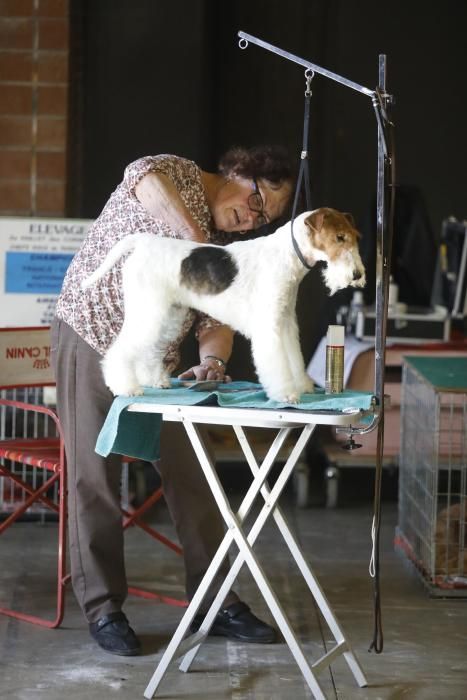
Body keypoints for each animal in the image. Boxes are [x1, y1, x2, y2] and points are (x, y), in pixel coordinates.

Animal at [83, 208, 366, 402]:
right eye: (339, 237)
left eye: (355, 237)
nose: (357, 275)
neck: (286, 256)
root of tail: (142, 242)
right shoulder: (270, 326)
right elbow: (277, 362)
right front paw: (286, 394)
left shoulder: (285, 321)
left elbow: (294, 357)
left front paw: (302, 385)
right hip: (149, 309)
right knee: (120, 351)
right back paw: (126, 387)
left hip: (167, 313)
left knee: (150, 349)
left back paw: (155, 380)